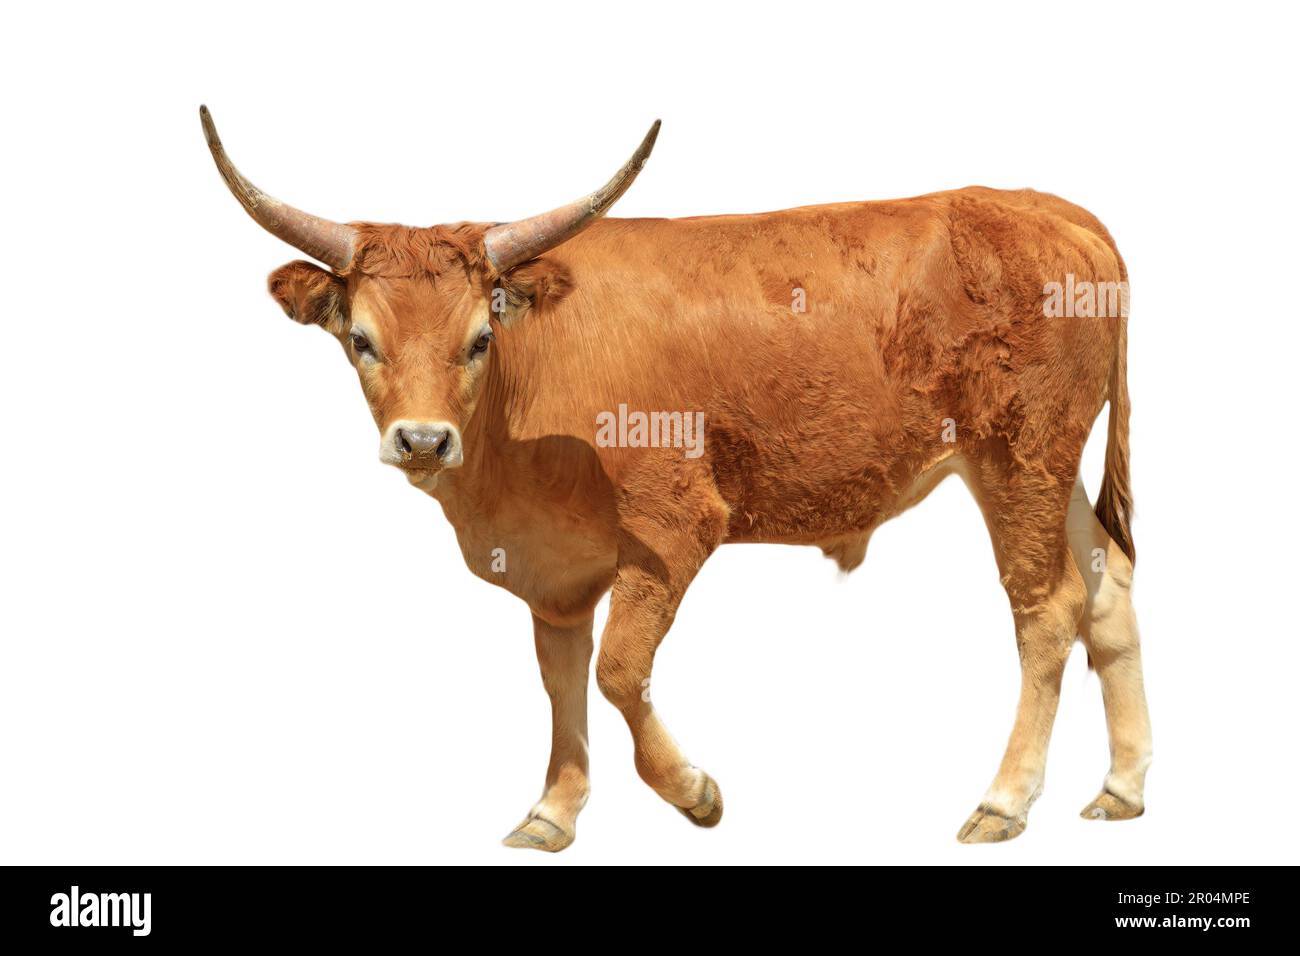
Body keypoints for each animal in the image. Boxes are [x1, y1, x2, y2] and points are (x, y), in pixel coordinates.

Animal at [200, 105, 1152, 851]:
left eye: (479, 337)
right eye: (361, 339)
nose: (424, 441)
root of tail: (1046, 208)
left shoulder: (675, 524)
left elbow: (619, 668)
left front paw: (696, 793)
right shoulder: (555, 569)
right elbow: (561, 673)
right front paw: (554, 810)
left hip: (1019, 454)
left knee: (1047, 607)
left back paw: (1004, 802)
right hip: (1048, 464)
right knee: (1108, 586)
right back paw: (1123, 788)